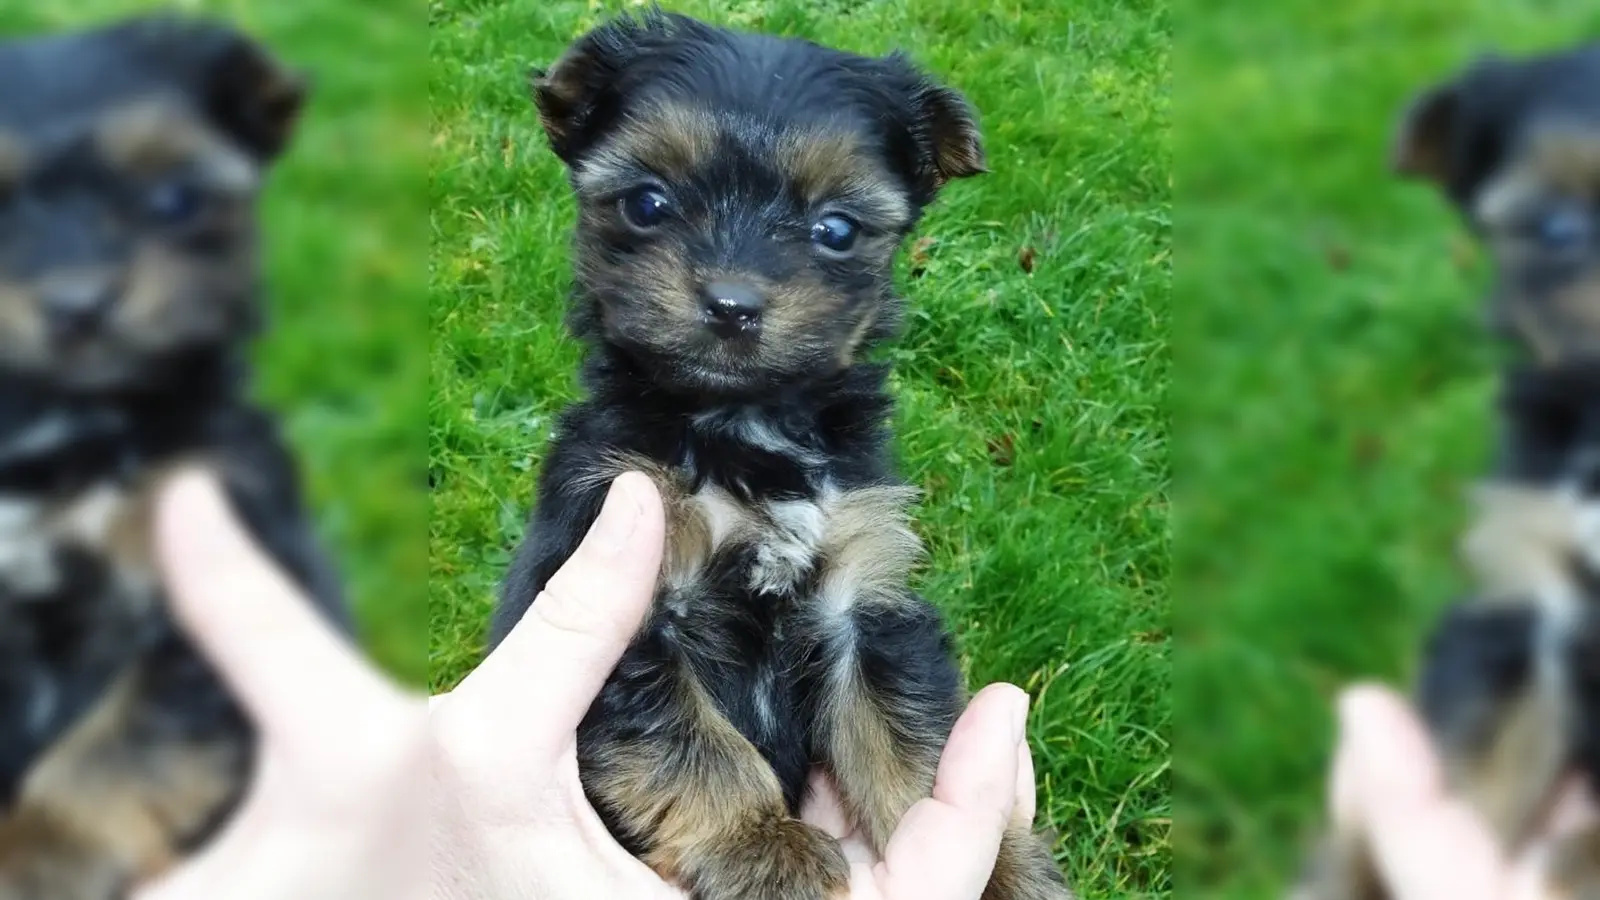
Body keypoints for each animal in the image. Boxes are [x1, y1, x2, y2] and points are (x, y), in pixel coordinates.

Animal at [489, 12, 1075, 896]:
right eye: (648, 203)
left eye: (836, 229)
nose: (732, 304)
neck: (743, 421)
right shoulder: (625, 564)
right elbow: (686, 736)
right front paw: (759, 841)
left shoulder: (862, 603)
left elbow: (909, 739)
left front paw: (1001, 866)